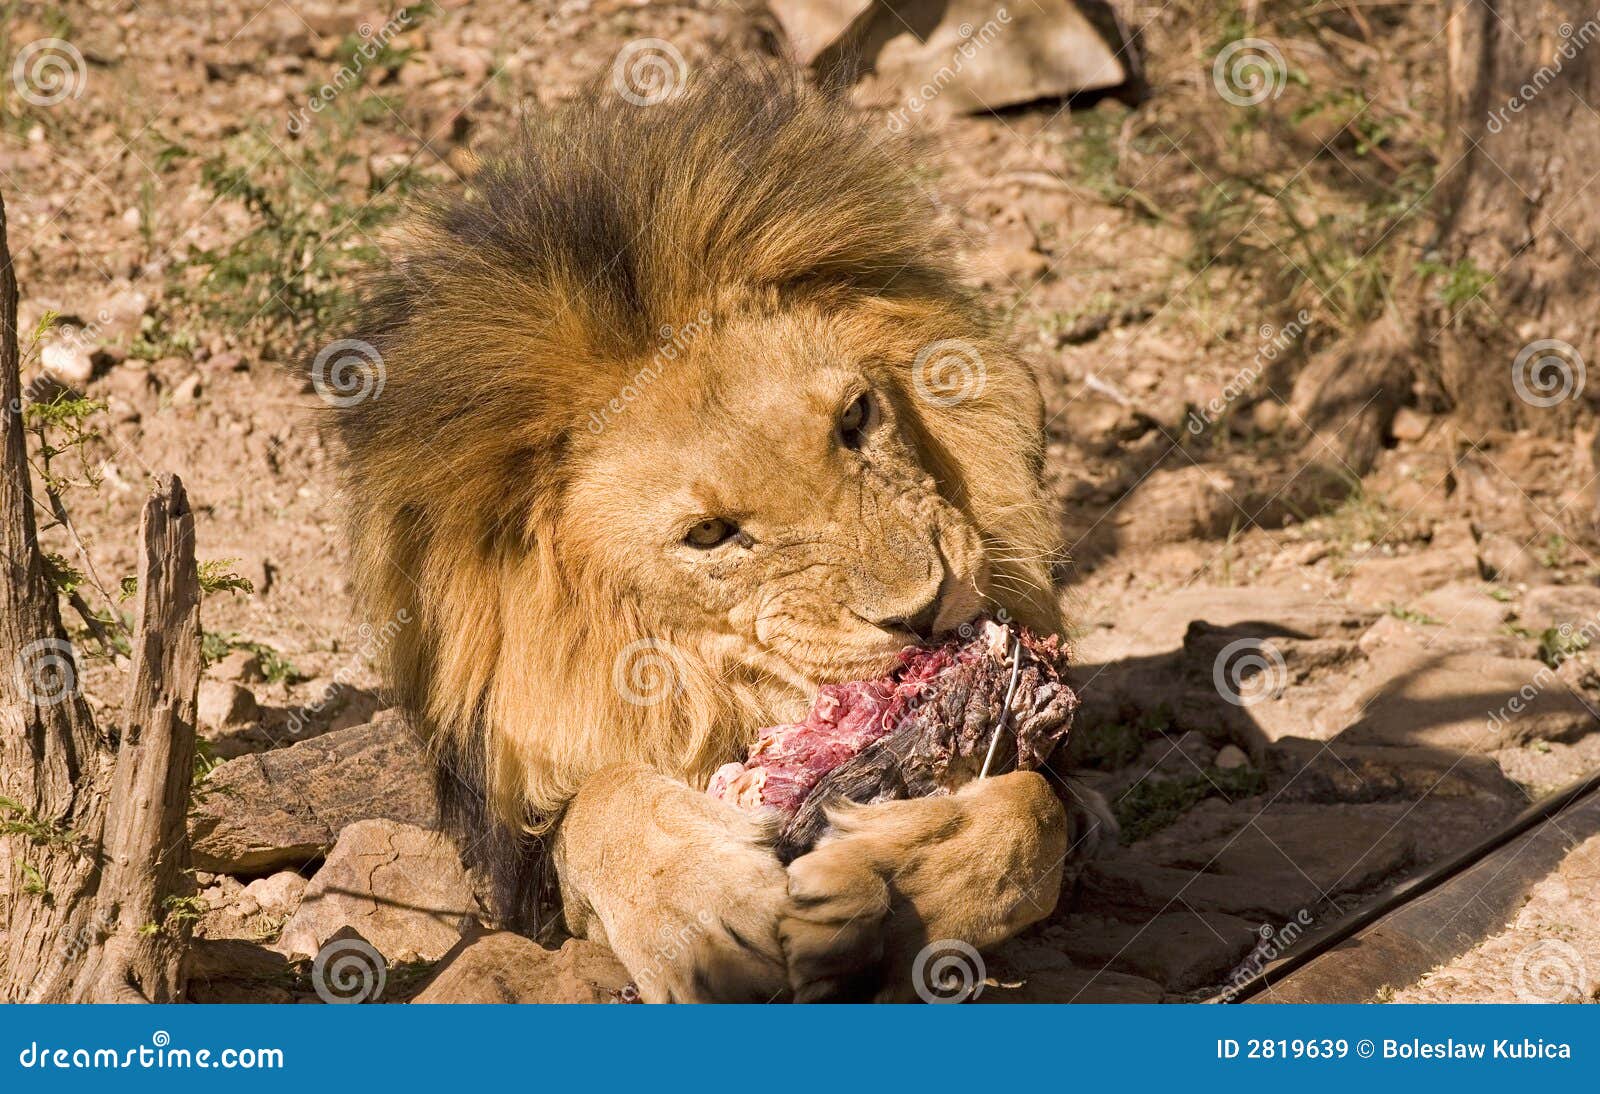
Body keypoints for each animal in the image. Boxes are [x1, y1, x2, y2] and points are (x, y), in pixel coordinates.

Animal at [326, 64, 1095, 1002]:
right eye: (708, 535)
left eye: (855, 418)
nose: (926, 606)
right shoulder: (521, 862)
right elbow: (603, 798)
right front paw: (703, 916)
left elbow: (1034, 813)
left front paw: (896, 892)